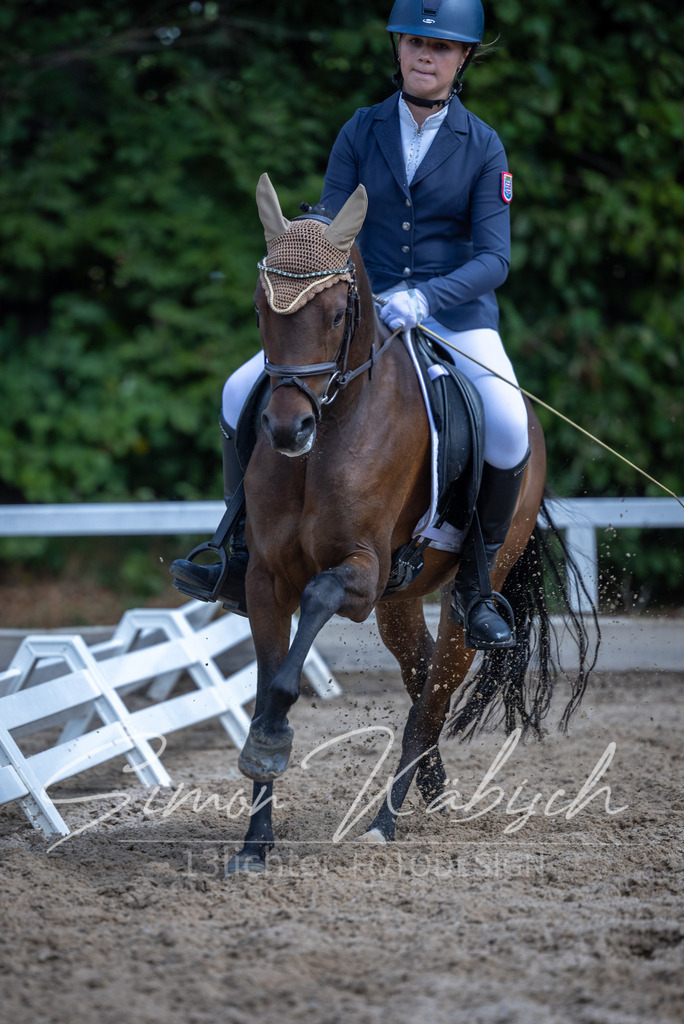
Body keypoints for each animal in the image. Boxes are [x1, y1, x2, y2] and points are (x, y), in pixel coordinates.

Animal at [225, 173, 595, 874]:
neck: (332, 433)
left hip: (464, 593)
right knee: (422, 677)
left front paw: (271, 737)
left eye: (336, 314)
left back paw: (384, 823)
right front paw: (255, 843)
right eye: (261, 311)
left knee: (433, 698)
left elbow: (314, 607)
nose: (286, 430)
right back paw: (433, 788)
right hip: (401, 600)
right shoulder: (264, 581)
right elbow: (263, 675)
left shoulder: (361, 572)